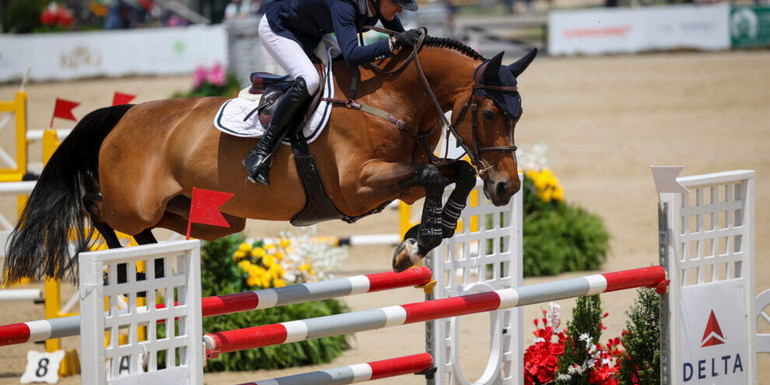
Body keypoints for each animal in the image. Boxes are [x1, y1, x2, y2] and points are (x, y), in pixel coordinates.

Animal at [1, 36, 536, 282]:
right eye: (490, 112)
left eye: (518, 114)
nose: (507, 187)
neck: (391, 99)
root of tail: (124, 114)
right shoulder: (358, 186)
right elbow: (434, 174)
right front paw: (415, 245)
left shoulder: (397, 185)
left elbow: (454, 172)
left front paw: (423, 238)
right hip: (133, 202)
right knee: (95, 206)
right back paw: (129, 262)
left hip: (210, 216)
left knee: (165, 225)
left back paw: (152, 262)